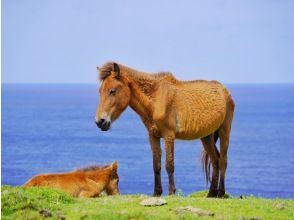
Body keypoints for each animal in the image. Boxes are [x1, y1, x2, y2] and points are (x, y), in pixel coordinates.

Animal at [95, 62, 235, 198]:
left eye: (112, 91)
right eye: (100, 91)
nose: (100, 121)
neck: (156, 100)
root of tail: (225, 91)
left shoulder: (169, 136)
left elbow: (169, 164)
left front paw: (171, 192)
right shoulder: (153, 136)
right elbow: (156, 165)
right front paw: (156, 192)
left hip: (224, 130)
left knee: (223, 160)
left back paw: (221, 192)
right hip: (206, 136)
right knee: (215, 160)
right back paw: (211, 193)